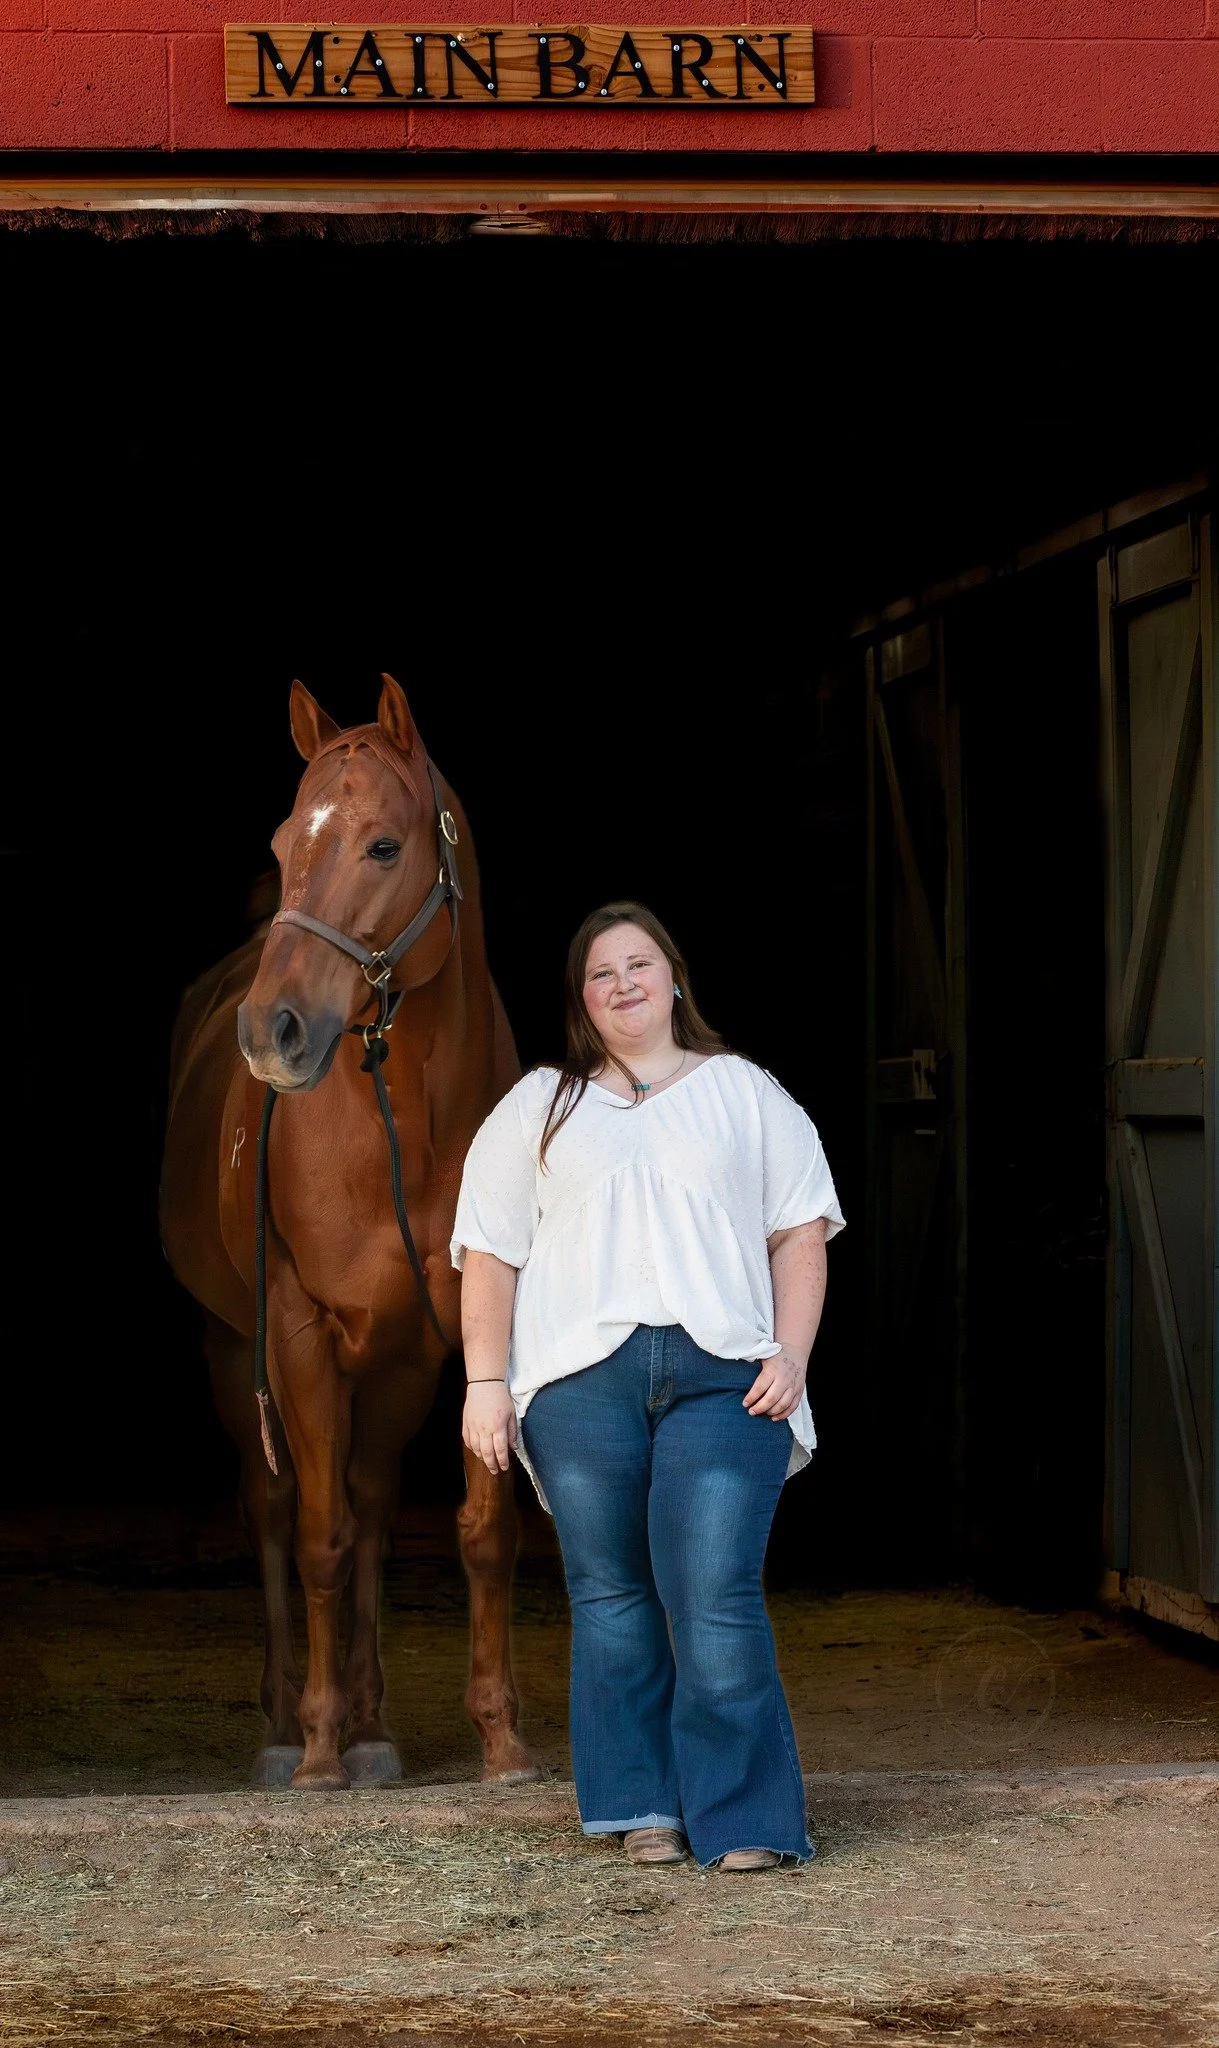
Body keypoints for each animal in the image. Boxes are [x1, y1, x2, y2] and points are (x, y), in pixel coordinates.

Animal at [161, 675, 535, 1792]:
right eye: (286, 841)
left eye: (381, 845)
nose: (271, 1032)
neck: (408, 1120)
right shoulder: (296, 1333)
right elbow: (317, 1538)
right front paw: (318, 1752)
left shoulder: (467, 1332)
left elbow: (478, 1530)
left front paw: (501, 1742)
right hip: (237, 1353)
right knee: (279, 1511)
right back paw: (291, 1725)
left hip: (396, 1363)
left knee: (371, 1503)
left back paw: (373, 1725)